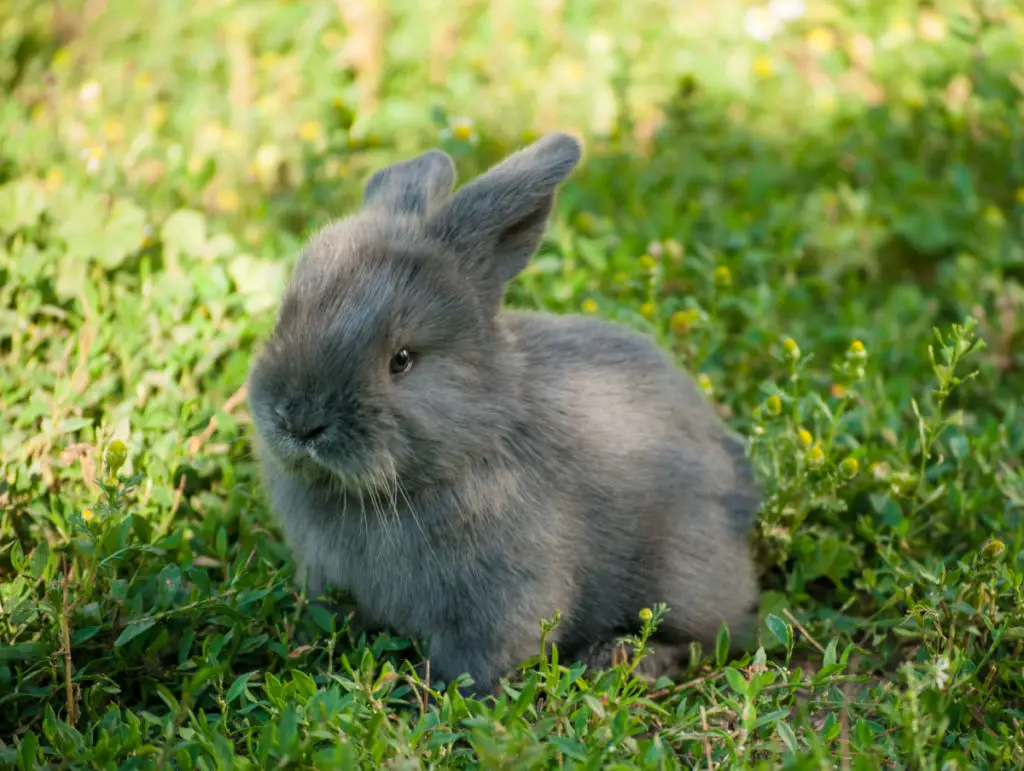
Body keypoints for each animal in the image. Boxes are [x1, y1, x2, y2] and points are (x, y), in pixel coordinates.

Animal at [245, 132, 761, 696]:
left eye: (401, 360)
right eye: (286, 317)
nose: (299, 421)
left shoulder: (499, 606)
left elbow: (477, 660)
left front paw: (432, 696)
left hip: (681, 578)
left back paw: (619, 658)